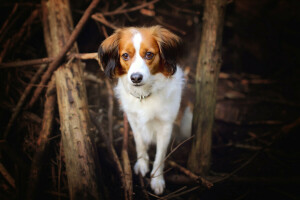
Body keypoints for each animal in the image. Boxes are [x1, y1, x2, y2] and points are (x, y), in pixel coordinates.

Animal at [98, 25, 191, 195]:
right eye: (125, 56)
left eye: (149, 54)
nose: (135, 78)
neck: (145, 95)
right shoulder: (133, 120)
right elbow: (140, 143)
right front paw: (142, 165)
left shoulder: (165, 126)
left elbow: (160, 156)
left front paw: (157, 180)